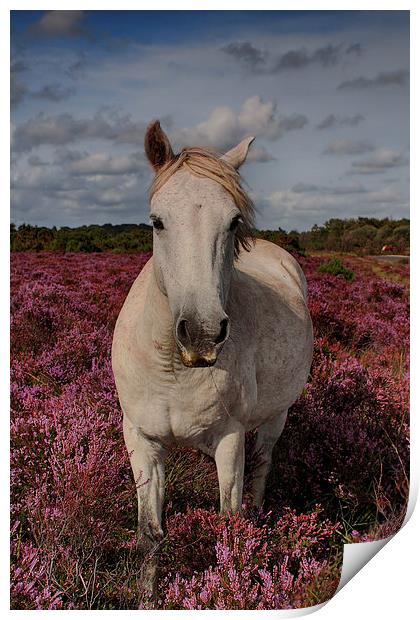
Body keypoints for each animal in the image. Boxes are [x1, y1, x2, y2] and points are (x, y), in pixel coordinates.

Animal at [110, 120, 312, 592]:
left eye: (233, 221)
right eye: (157, 222)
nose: (202, 333)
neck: (172, 367)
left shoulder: (229, 439)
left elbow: (228, 523)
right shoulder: (141, 440)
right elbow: (150, 532)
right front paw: (147, 596)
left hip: (276, 416)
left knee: (262, 466)